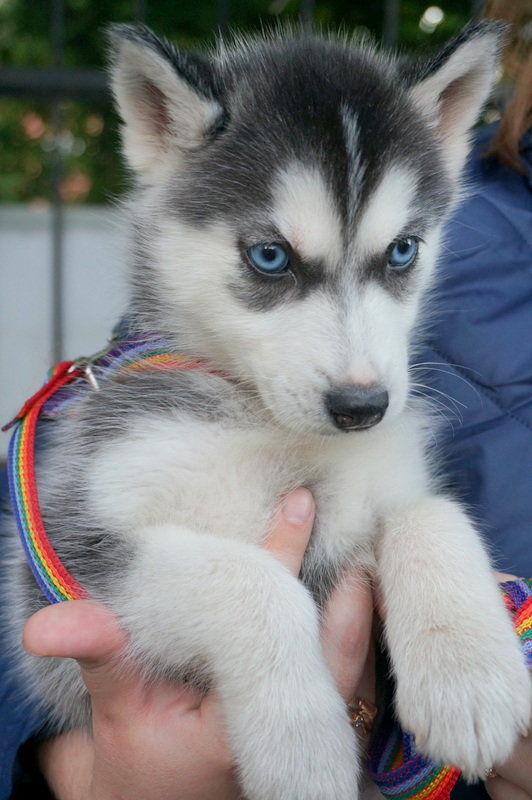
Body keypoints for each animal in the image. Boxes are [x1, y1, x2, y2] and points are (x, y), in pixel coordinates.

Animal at [5, 18, 532, 800]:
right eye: (271, 257)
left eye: (403, 251)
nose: (361, 407)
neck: (267, 426)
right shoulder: (77, 556)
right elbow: (256, 583)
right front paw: (302, 749)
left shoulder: (376, 493)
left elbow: (432, 513)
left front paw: (469, 678)